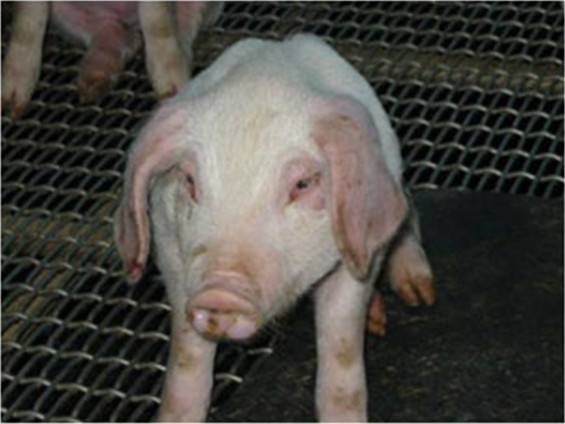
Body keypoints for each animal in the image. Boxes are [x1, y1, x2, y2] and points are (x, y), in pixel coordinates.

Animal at [1, 1, 223, 118]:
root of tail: (129, 22)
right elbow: (28, 21)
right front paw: (11, 105)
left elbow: (156, 18)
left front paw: (171, 90)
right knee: (113, 33)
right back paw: (92, 86)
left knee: (185, 25)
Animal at [114, 34, 435, 422]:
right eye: (189, 180)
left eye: (302, 184)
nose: (220, 292)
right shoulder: (171, 252)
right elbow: (187, 361)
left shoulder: (356, 258)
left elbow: (341, 347)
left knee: (406, 211)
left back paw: (418, 295)